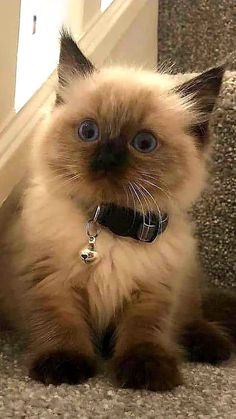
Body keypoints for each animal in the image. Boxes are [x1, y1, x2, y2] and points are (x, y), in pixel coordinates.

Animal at [0, 32, 235, 390]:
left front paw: (148, 373)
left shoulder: (152, 294)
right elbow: (61, 325)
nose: (107, 158)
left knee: (192, 315)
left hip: (187, 277)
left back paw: (211, 344)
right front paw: (63, 367)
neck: (110, 227)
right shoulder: (51, 283)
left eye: (144, 143)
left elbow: (144, 334)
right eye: (88, 132)